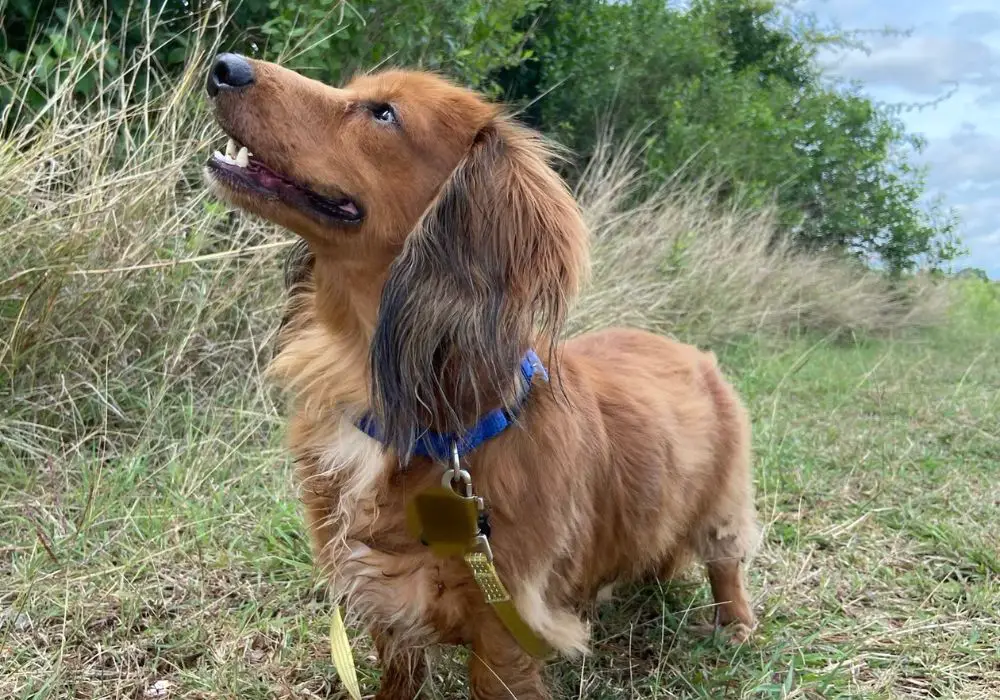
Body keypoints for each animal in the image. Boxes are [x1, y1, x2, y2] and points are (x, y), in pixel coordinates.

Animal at [203, 52, 752, 696]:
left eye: (384, 113)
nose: (225, 66)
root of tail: (687, 350)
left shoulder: (506, 625)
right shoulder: (383, 597)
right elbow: (398, 667)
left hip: (722, 504)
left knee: (726, 562)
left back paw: (736, 623)